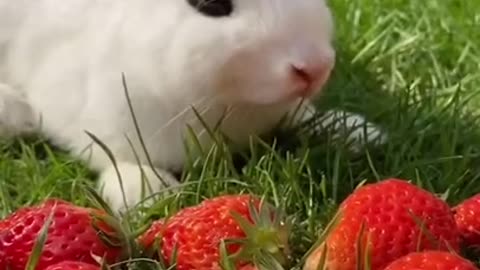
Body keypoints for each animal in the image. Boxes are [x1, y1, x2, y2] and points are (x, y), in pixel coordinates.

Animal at [0, 0, 382, 211]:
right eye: (211, 3)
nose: (315, 67)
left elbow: (303, 119)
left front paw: (356, 132)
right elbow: (117, 157)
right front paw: (149, 194)